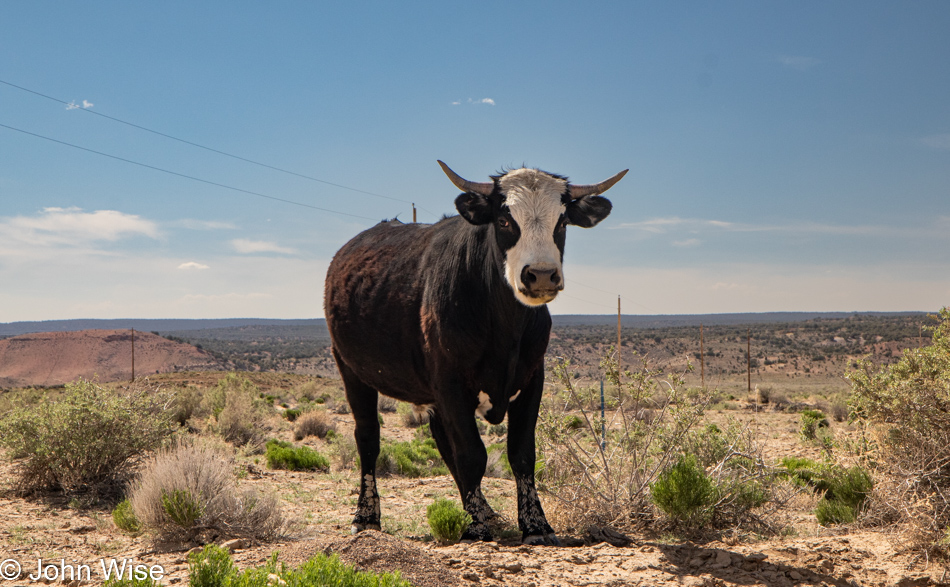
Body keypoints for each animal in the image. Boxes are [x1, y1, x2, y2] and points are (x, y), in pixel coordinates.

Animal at [324, 162, 628, 548]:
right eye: (504, 220)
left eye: (561, 222)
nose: (541, 275)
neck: (504, 328)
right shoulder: (451, 383)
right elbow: (471, 453)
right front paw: (477, 528)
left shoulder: (532, 379)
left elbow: (521, 453)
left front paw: (534, 524)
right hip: (351, 370)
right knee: (368, 439)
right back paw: (367, 517)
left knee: (442, 441)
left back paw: (483, 509)